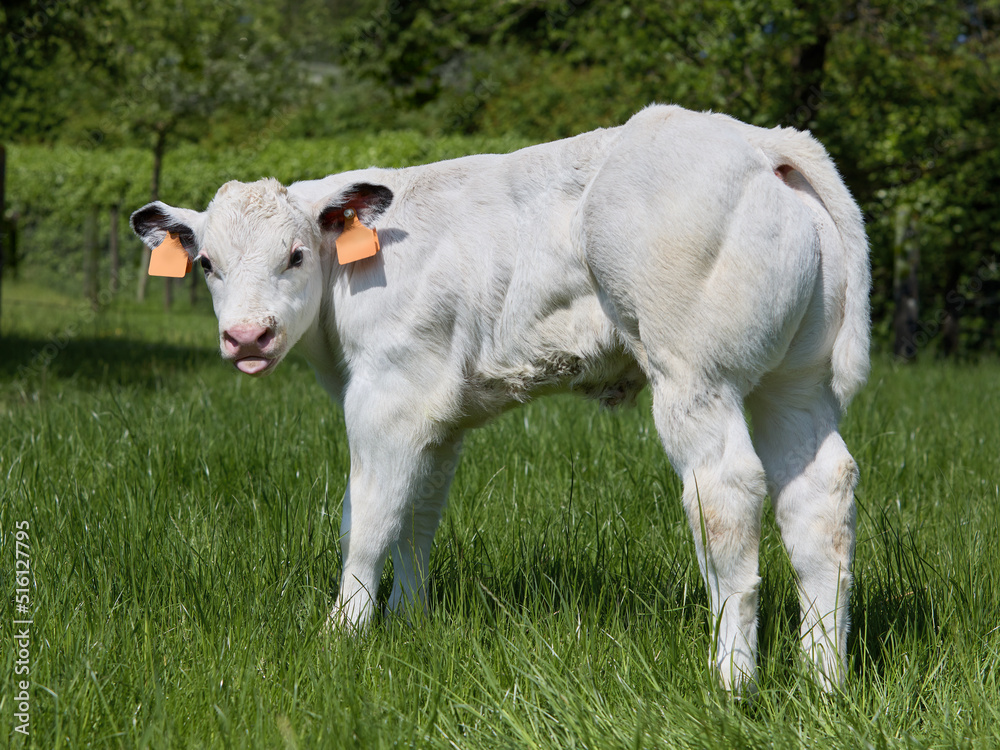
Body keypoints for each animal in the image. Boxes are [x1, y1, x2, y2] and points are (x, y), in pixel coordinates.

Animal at [131, 106, 868, 692]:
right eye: (207, 265)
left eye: (295, 254)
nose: (246, 337)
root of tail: (760, 140)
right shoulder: (438, 415)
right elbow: (418, 515)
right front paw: (409, 619)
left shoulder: (387, 395)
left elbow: (367, 516)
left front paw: (342, 635)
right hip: (794, 385)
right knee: (818, 497)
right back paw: (823, 681)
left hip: (695, 375)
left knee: (725, 493)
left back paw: (732, 680)